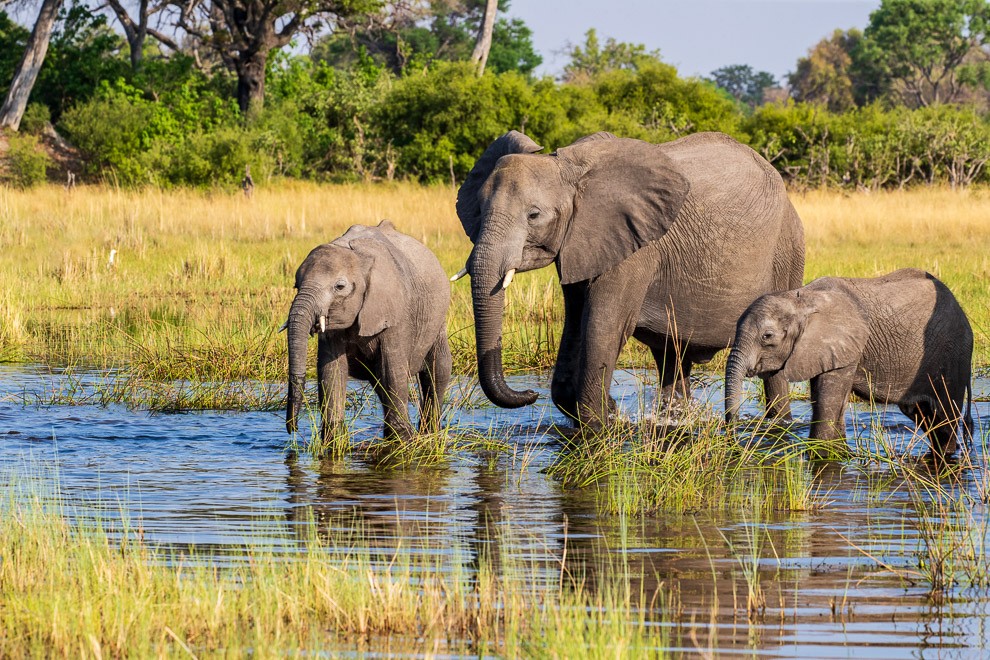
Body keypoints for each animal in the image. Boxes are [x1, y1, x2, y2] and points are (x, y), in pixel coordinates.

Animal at [282, 220, 454, 444]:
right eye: (296, 285)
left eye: (340, 286)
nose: (292, 428)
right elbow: (331, 371)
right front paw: (333, 441)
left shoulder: (395, 312)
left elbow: (392, 371)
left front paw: (404, 441)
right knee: (378, 379)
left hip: (438, 316)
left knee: (437, 368)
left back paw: (429, 431)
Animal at [456, 130, 808, 430]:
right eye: (478, 209)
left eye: (534, 215)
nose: (530, 394)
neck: (572, 172)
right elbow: (576, 322)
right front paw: (608, 413)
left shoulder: (635, 248)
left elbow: (603, 324)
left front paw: (602, 423)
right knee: (672, 355)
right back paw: (676, 421)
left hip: (787, 251)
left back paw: (779, 426)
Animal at [728, 266, 976, 454]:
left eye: (767, 336)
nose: (734, 439)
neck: (800, 298)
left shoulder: (845, 349)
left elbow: (827, 405)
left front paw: (821, 455)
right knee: (925, 416)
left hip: (954, 355)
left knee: (946, 418)